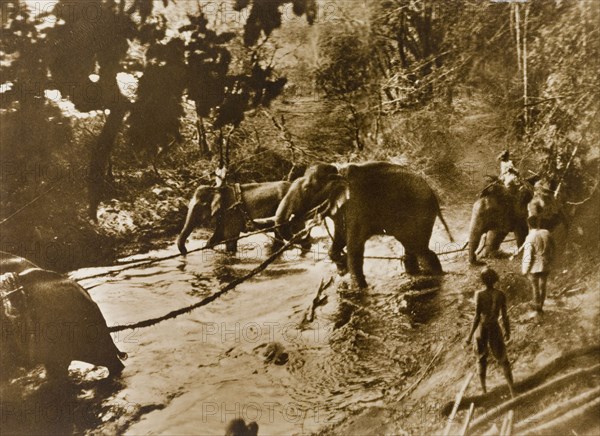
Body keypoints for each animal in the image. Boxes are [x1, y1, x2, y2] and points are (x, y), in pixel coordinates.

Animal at [274, 162, 454, 288]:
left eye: (307, 188)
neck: (338, 173)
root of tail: (433, 194)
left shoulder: (356, 206)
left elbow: (354, 246)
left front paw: (357, 287)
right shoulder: (340, 208)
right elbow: (339, 238)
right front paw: (342, 269)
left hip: (420, 212)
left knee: (421, 249)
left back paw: (437, 275)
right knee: (410, 248)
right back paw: (413, 274)